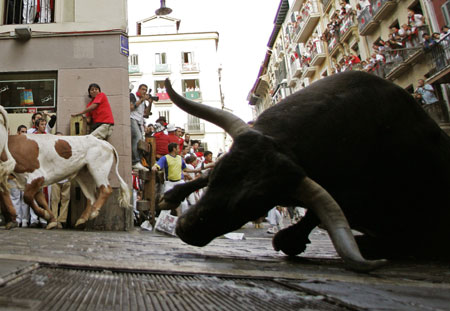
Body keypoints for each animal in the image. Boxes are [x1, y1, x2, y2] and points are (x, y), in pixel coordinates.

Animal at [0, 106, 130, 230]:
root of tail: (105, 143)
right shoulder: (31, 182)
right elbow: (40, 201)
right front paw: (51, 218)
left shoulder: (37, 177)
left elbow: (28, 198)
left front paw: (46, 215)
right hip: (84, 174)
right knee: (91, 197)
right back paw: (83, 219)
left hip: (98, 169)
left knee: (106, 190)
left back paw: (93, 212)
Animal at [161, 72, 450, 272]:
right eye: (219, 174)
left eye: (255, 204)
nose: (186, 228)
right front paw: (172, 196)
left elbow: (316, 214)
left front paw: (290, 239)